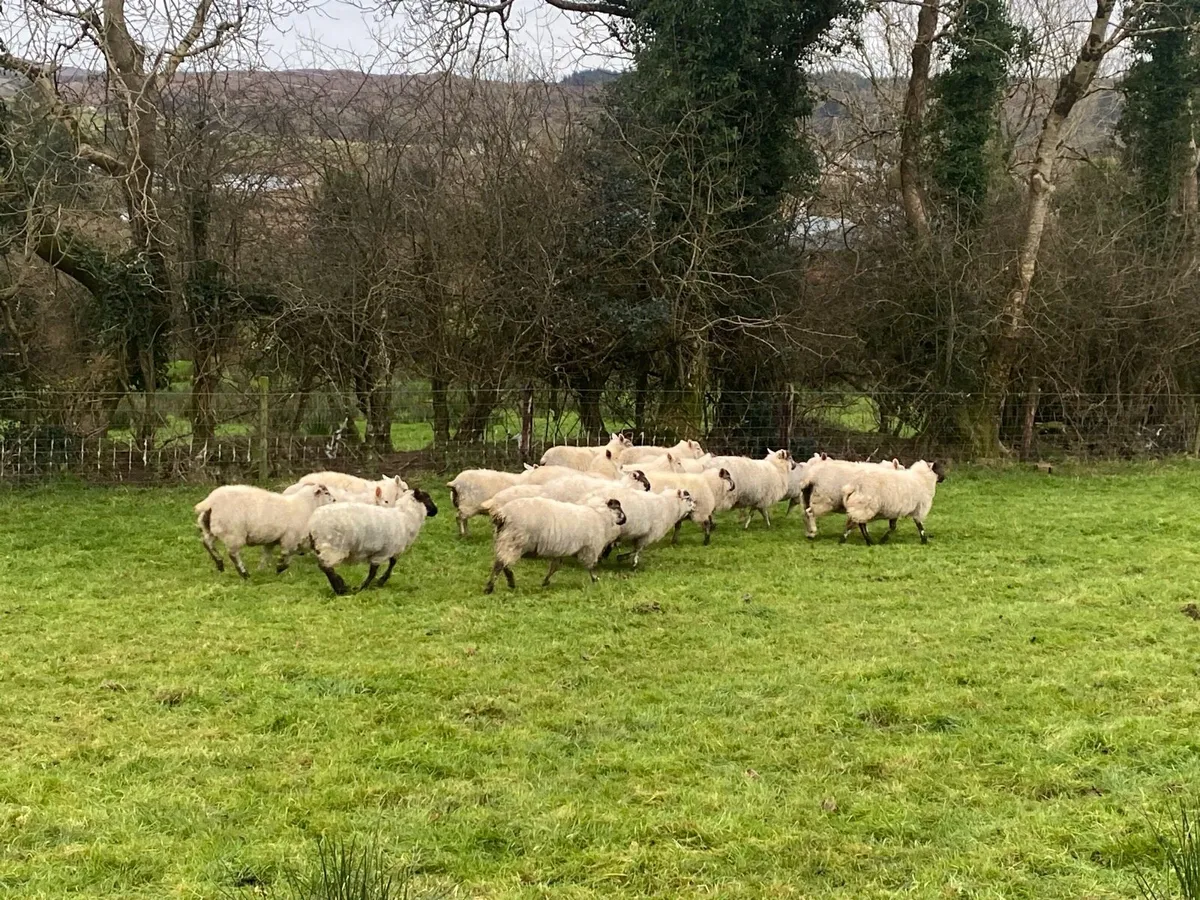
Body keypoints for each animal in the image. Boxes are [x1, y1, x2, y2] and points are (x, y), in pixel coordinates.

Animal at [195, 483, 332, 578]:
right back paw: (243, 573)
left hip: (210, 527)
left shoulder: (273, 540)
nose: (335, 500)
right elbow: (287, 554)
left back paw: (219, 563)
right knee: (232, 554)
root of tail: (210, 501)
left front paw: (262, 570)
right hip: (234, 533)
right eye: (326, 493)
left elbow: (266, 555)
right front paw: (280, 567)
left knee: (207, 542)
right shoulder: (290, 538)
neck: (305, 505)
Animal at [307, 488, 439, 594]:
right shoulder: (385, 551)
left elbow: (390, 564)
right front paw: (365, 586)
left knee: (324, 567)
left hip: (321, 547)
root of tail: (313, 523)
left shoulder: (391, 550)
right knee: (326, 567)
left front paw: (376, 582)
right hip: (332, 547)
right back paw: (340, 588)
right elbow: (376, 571)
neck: (405, 517)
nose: (436, 511)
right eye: (427, 497)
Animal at [484, 495, 627, 593]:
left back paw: (508, 582)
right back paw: (492, 587)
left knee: (503, 562)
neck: (599, 515)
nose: (625, 519)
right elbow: (591, 567)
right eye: (618, 507)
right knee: (501, 564)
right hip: (513, 541)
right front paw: (595, 580)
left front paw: (545, 581)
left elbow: (555, 567)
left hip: (504, 540)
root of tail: (502, 514)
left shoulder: (562, 551)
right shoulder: (589, 549)